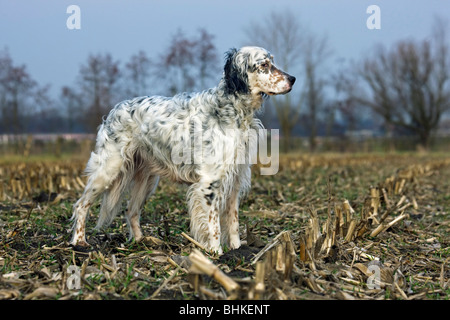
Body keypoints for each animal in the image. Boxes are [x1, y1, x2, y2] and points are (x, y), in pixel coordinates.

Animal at [70, 46, 296, 254]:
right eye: (264, 64)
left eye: (272, 61)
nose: (293, 79)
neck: (232, 108)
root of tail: (114, 110)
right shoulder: (210, 182)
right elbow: (214, 224)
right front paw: (216, 254)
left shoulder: (235, 180)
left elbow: (233, 221)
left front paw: (237, 249)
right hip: (108, 169)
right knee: (81, 204)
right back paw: (79, 242)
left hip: (147, 179)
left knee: (131, 210)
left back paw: (142, 242)